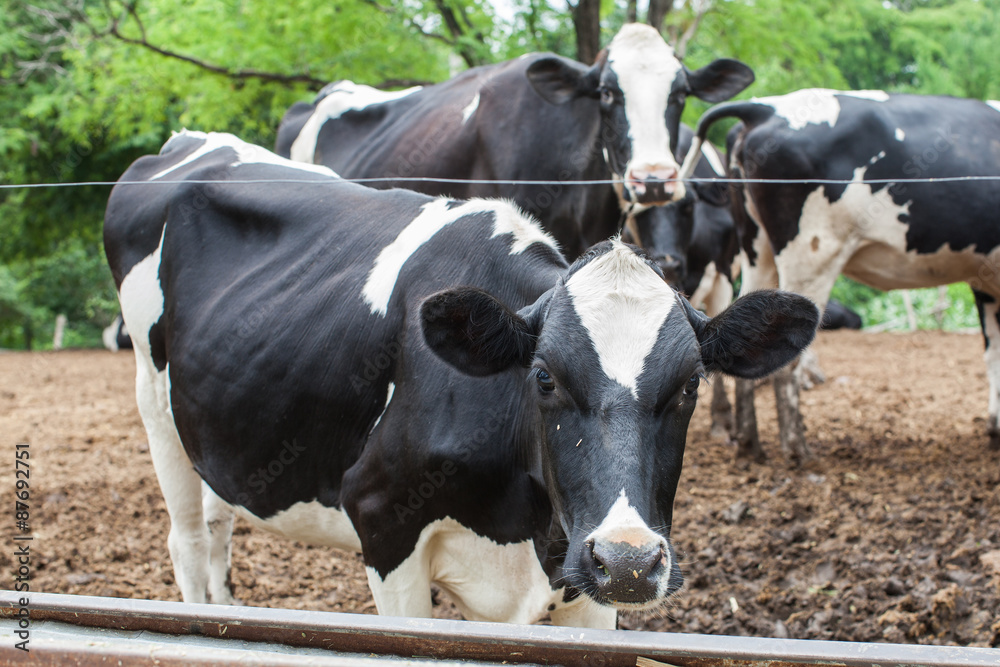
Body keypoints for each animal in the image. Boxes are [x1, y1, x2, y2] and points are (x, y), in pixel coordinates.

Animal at [105, 130, 816, 628]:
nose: (629, 559)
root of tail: (184, 142)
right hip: (151, 398)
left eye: (692, 384)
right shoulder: (382, 523)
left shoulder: (586, 582)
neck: (531, 532)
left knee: (218, 525)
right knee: (187, 540)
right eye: (543, 378)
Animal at [684, 90, 1000, 464]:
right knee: (790, 365)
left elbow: (993, 353)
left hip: (757, 250)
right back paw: (797, 449)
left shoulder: (985, 281)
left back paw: (751, 445)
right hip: (812, 254)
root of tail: (762, 108)